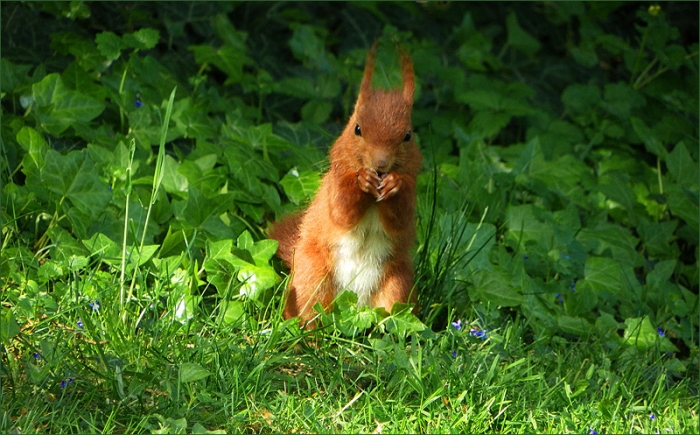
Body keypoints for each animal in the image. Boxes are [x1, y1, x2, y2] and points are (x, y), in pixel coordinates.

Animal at [269, 42, 422, 325]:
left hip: (397, 285)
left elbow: (399, 220)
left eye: (408, 135)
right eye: (357, 128)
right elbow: (342, 211)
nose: (381, 164)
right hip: (311, 280)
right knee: (309, 310)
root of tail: (353, 306)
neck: (373, 199)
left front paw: (394, 184)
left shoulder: (412, 193)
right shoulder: (334, 186)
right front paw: (362, 180)